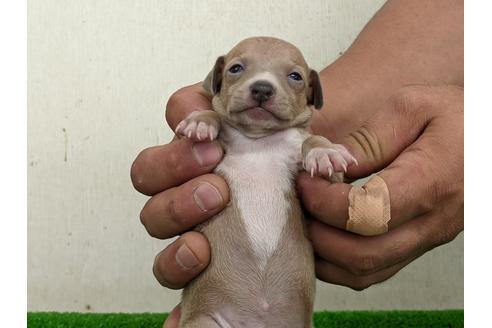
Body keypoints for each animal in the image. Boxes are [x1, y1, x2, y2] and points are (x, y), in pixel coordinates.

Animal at [175, 37, 356, 328]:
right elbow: (214, 116)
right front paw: (201, 120)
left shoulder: (327, 174)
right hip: (204, 321)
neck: (258, 139)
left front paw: (324, 151)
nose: (262, 88)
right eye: (235, 68)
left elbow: (314, 143)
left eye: (295, 76)